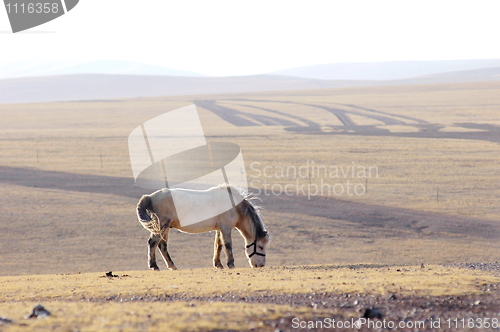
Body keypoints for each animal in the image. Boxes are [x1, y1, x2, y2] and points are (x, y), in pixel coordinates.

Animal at [136, 184, 270, 270]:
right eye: (260, 246)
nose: (260, 265)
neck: (235, 206)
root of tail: (150, 197)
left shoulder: (219, 229)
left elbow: (218, 245)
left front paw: (218, 264)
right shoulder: (225, 228)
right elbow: (228, 245)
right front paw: (231, 264)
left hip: (166, 228)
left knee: (162, 245)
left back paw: (172, 266)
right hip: (162, 226)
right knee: (153, 242)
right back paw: (154, 265)